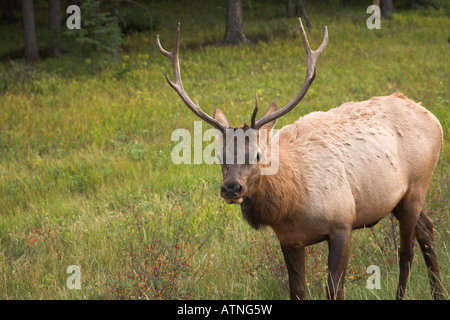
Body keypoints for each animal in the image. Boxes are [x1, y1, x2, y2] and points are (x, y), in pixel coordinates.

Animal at [156, 20, 444, 300]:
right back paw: (439, 292)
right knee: (427, 230)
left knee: (406, 252)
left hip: (417, 186)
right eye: (219, 155)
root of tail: (432, 117)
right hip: (398, 199)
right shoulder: (289, 239)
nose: (231, 188)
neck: (291, 206)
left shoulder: (342, 222)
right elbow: (296, 290)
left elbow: (334, 289)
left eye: (258, 154)